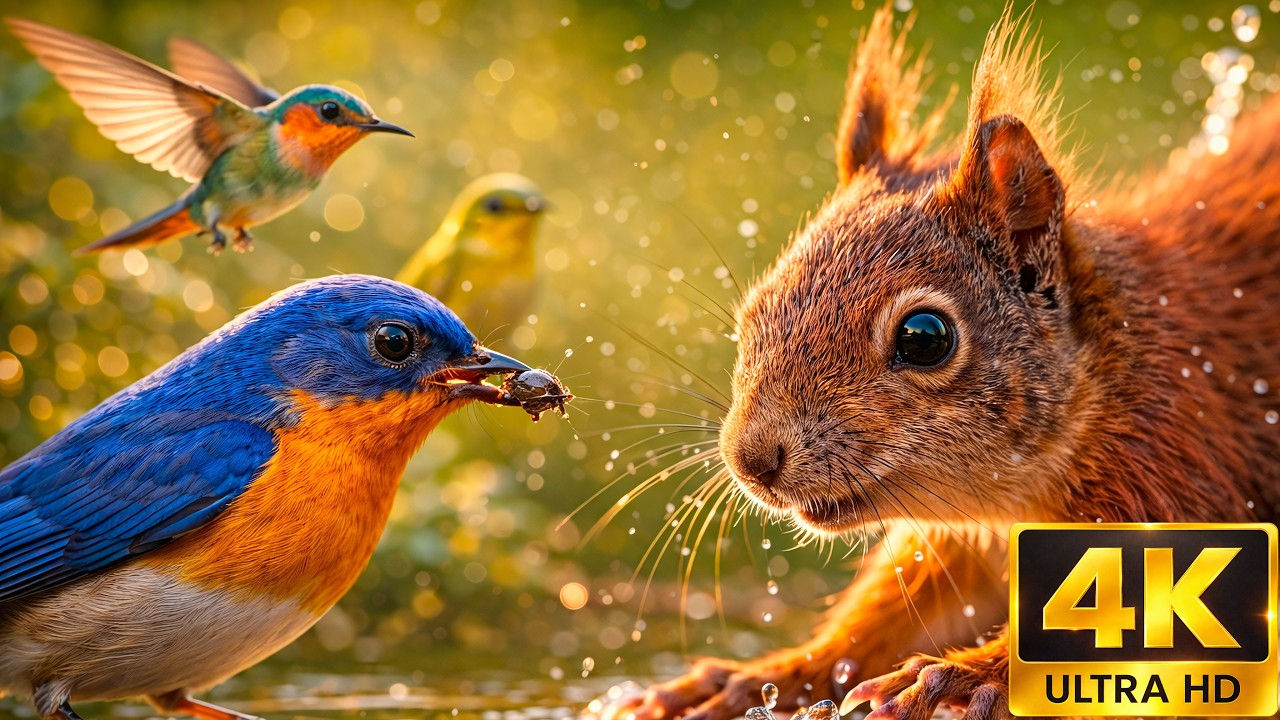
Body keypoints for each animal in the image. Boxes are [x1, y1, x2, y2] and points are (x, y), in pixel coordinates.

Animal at [605, 6, 1280, 720]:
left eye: (925, 338)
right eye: (754, 309)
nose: (751, 461)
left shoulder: (1173, 472)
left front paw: (965, 676)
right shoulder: (962, 543)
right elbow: (889, 622)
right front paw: (761, 676)